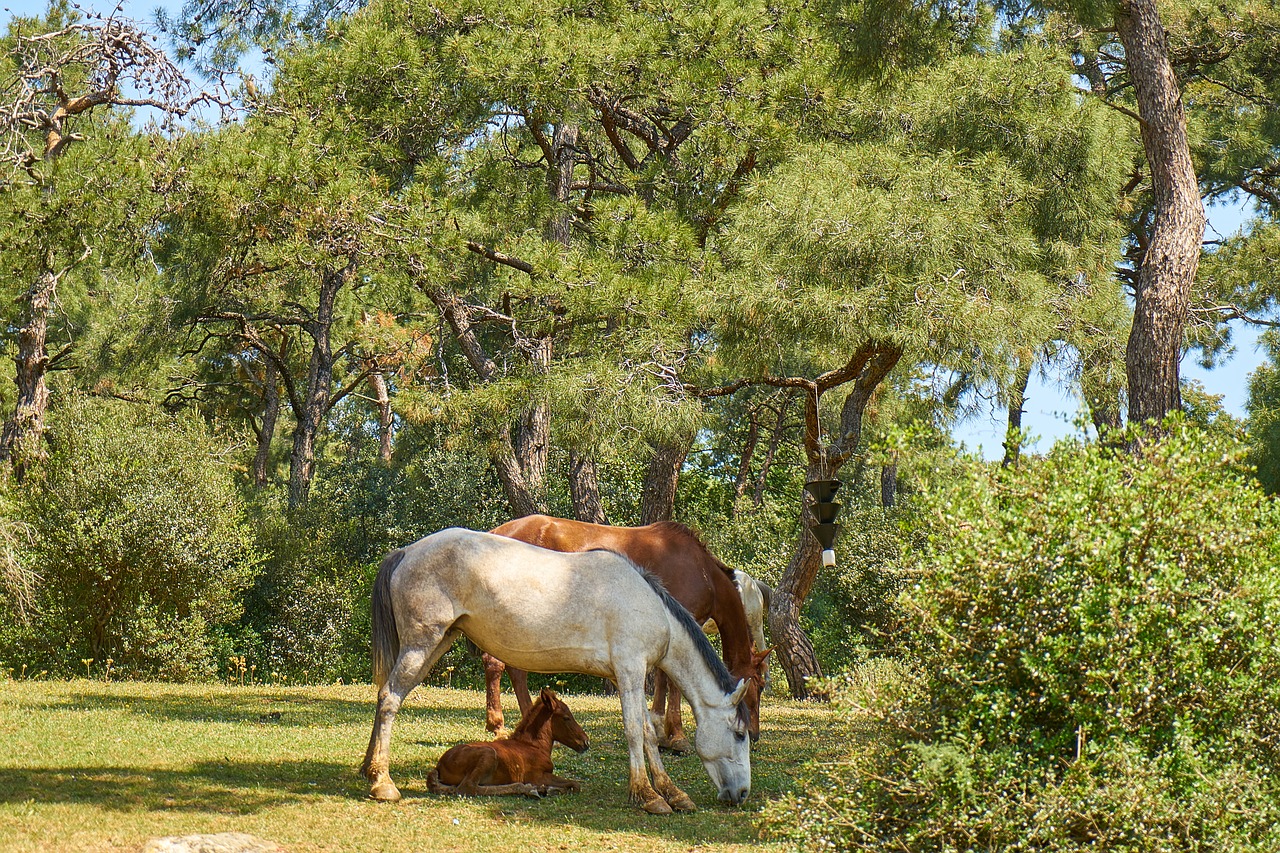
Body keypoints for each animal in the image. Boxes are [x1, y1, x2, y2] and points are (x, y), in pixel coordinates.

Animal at [427, 686, 591, 799]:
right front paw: (548, 789)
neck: (534, 746)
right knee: (468, 788)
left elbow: (573, 784)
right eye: (566, 718)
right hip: (488, 754)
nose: (585, 742)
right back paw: (529, 790)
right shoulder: (537, 776)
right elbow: (575, 784)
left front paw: (550, 790)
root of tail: (440, 764)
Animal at [478, 514, 757, 747]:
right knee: (496, 663)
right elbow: (672, 681)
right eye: (759, 685)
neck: (702, 571)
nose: (754, 734)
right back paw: (499, 725)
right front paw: (676, 735)